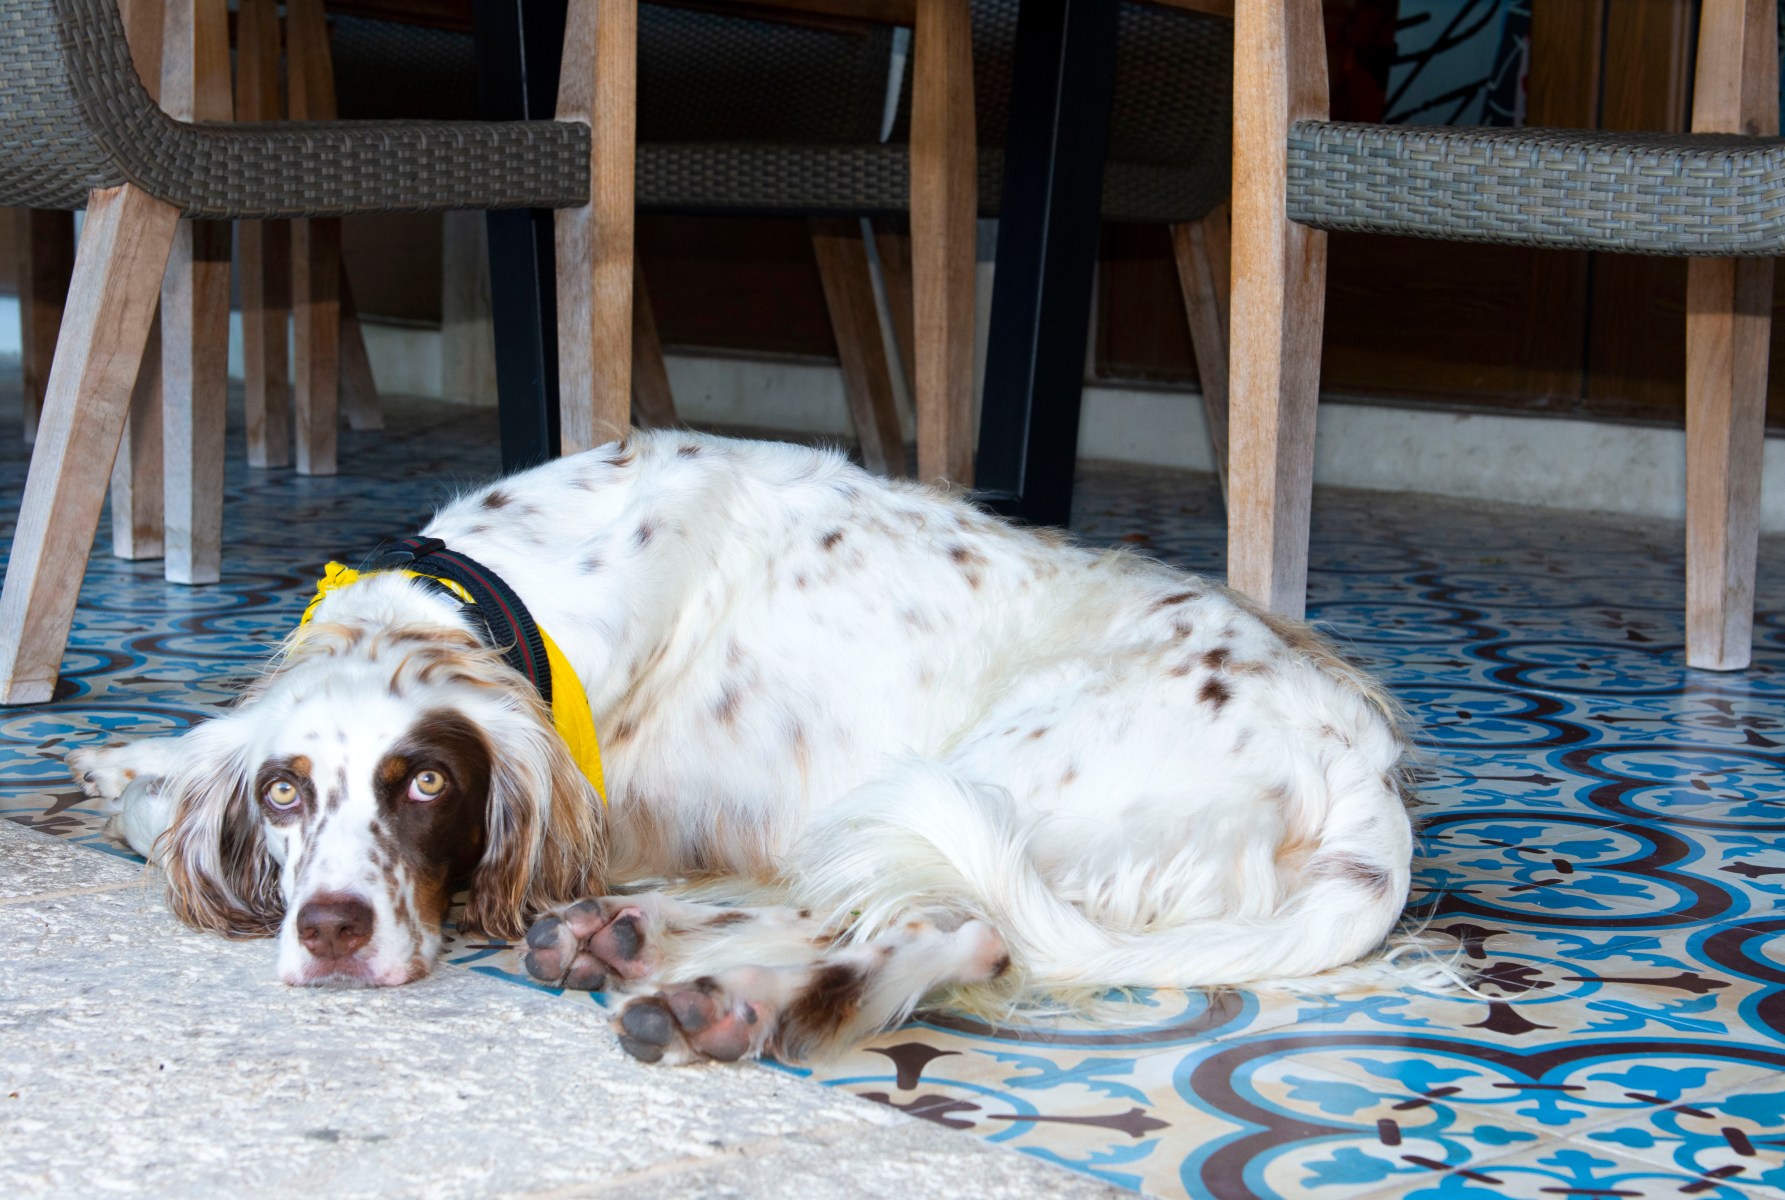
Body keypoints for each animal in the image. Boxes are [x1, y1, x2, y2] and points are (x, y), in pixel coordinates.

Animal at [69, 426, 1442, 1064]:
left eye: (426, 786)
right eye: (286, 795)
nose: (335, 932)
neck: (506, 595)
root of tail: (1361, 768)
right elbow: (160, 791)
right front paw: (134, 759)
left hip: (990, 776)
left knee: (949, 922)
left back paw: (731, 996)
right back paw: (629, 937)